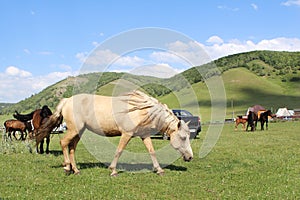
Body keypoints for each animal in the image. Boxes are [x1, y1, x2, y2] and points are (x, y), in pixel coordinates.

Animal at [36, 90, 193, 176]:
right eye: (183, 137)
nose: (190, 157)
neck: (141, 109)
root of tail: (67, 100)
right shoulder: (126, 134)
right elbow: (119, 151)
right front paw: (113, 171)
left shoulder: (144, 136)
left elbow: (151, 151)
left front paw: (159, 170)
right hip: (74, 130)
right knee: (63, 143)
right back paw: (67, 167)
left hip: (79, 131)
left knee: (72, 148)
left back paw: (76, 170)